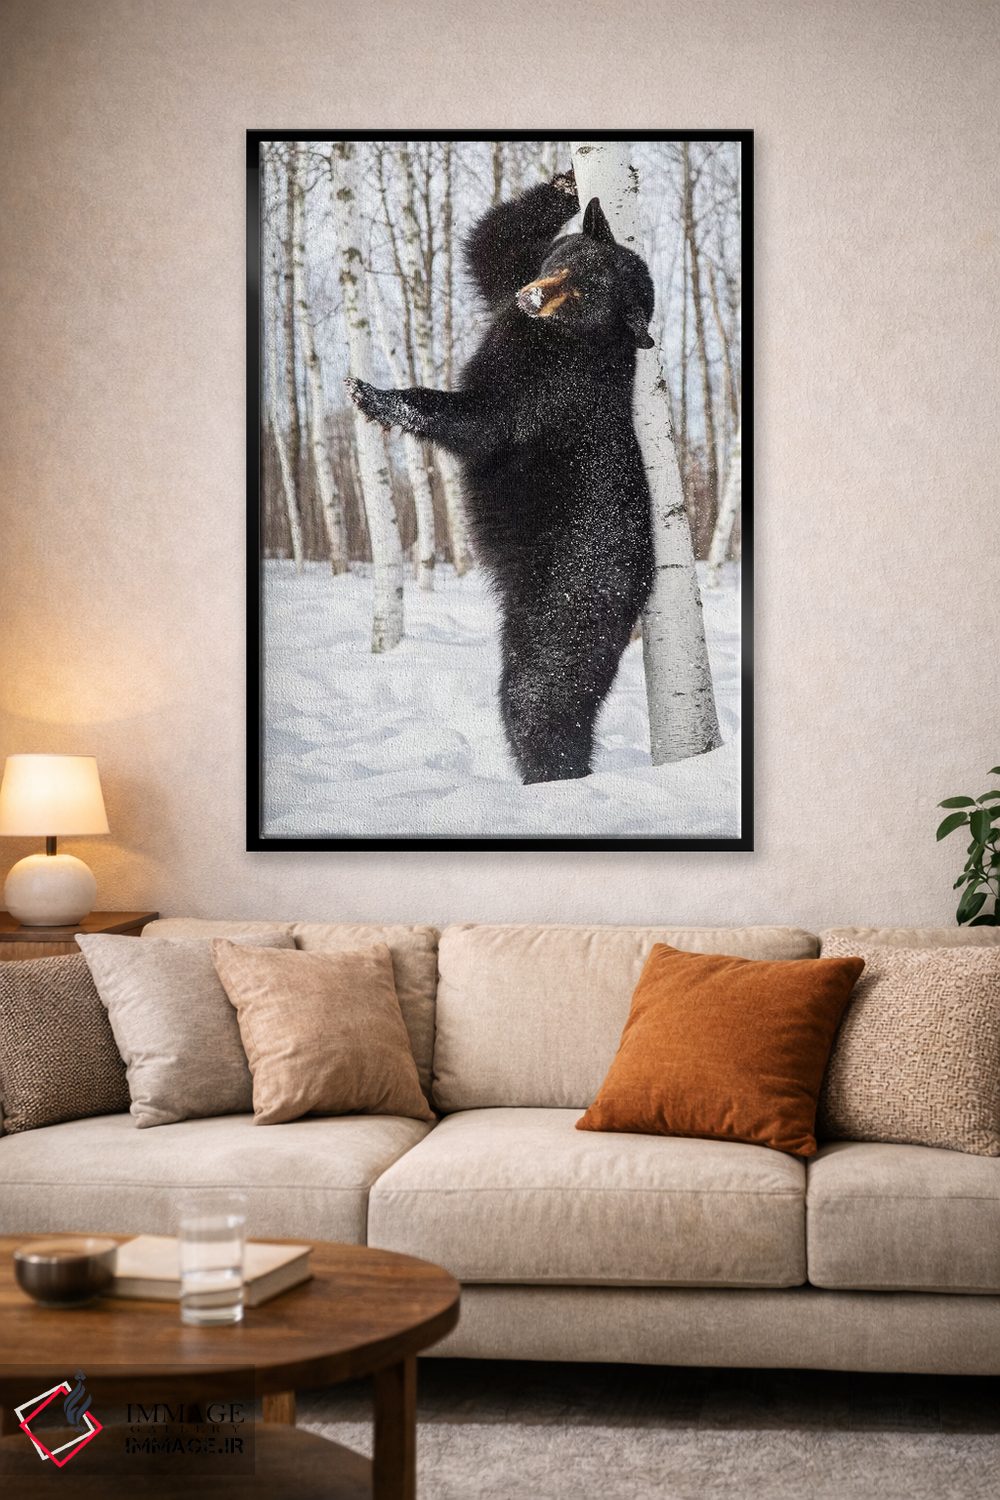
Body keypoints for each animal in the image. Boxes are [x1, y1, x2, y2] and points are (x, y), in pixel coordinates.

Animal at [348, 166, 656, 784]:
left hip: (567, 599)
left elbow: (482, 421)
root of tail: (640, 590)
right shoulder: (512, 293)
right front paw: (567, 185)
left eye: (586, 295)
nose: (532, 298)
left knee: (540, 693)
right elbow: (492, 249)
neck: (559, 338)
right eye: (566, 261)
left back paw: (551, 779)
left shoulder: (548, 389)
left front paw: (375, 396)